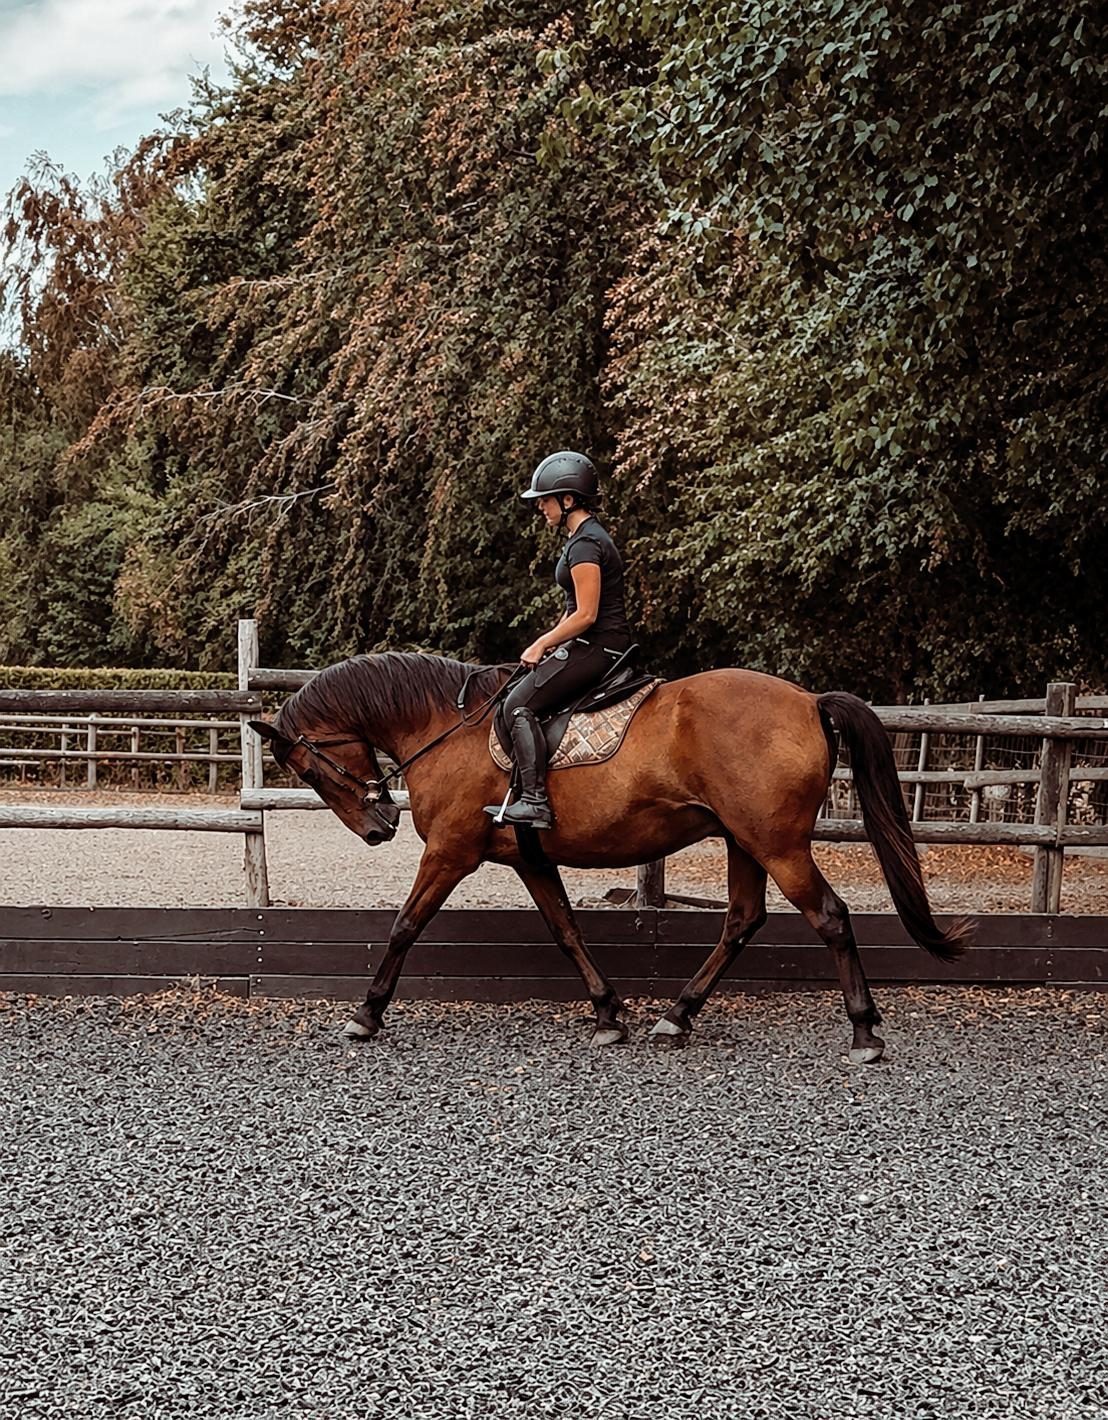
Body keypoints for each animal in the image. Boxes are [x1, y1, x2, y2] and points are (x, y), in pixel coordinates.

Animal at [249, 653, 972, 1059]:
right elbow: (566, 931)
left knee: (829, 916)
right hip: (744, 840)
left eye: (306, 769)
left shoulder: (452, 852)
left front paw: (365, 1015)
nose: (378, 829)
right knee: (742, 921)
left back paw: (864, 1034)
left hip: (776, 843)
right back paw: (676, 1018)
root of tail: (808, 700)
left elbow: (403, 926)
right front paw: (607, 1014)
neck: (446, 729)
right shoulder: (529, 858)